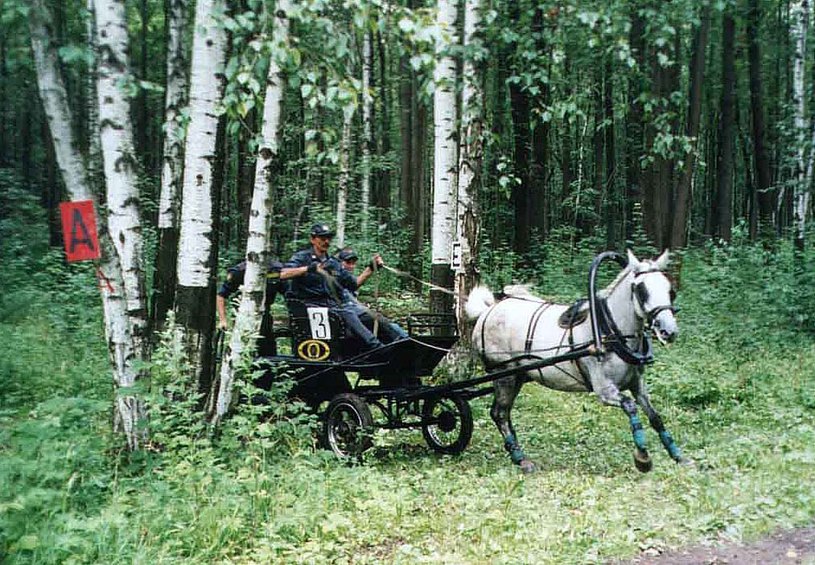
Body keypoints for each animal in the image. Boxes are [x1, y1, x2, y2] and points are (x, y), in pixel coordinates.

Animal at [462, 249, 684, 474]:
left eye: (670, 290)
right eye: (641, 290)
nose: (668, 331)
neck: (609, 331)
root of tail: (487, 311)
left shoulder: (637, 385)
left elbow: (655, 416)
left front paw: (678, 456)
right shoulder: (604, 390)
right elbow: (630, 406)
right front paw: (643, 458)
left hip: (518, 374)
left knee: (502, 412)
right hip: (504, 374)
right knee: (499, 413)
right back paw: (520, 458)